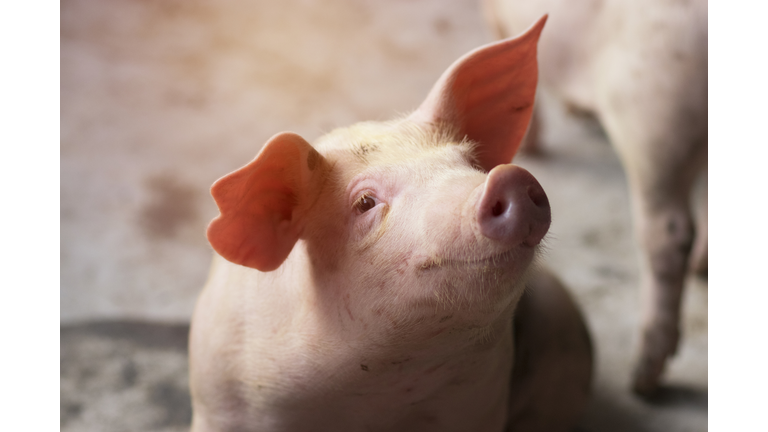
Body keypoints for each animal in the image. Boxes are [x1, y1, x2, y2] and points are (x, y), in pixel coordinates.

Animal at [484, 0, 712, 396]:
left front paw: (531, 145)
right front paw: (578, 111)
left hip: (655, 120)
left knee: (668, 236)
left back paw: (642, 381)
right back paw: (702, 268)